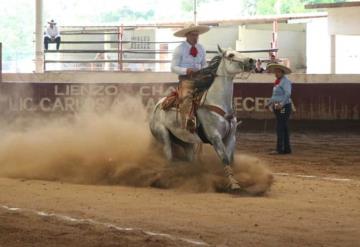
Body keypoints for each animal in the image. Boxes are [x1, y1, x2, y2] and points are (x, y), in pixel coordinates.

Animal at [149, 45, 256, 189]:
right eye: (231, 55)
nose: (251, 60)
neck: (217, 102)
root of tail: (157, 106)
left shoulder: (231, 137)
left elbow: (230, 159)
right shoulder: (215, 137)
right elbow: (224, 159)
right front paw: (233, 184)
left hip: (186, 141)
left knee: (190, 158)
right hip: (163, 135)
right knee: (168, 156)